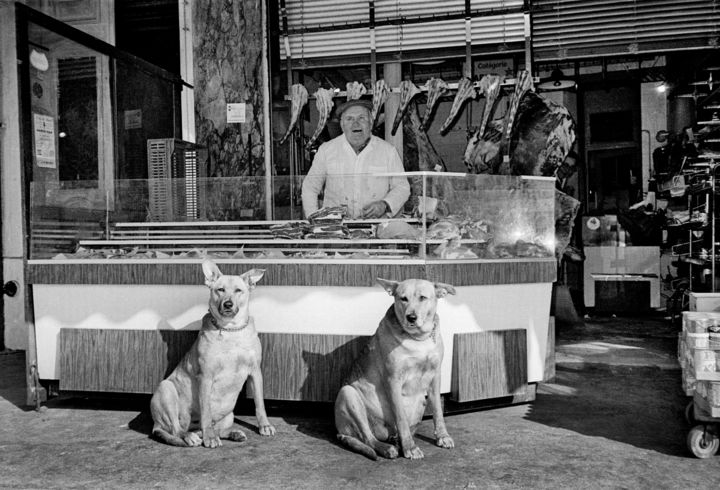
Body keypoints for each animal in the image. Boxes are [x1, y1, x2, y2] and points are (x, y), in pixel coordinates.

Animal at [149, 260, 276, 448]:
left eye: (238, 290)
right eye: (220, 290)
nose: (228, 304)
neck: (231, 331)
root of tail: (156, 425)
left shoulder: (255, 372)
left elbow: (260, 403)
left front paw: (264, 425)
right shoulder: (206, 377)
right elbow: (206, 413)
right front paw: (210, 439)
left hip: (229, 414)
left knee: (217, 429)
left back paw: (232, 433)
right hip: (166, 390)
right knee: (176, 429)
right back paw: (192, 436)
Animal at [336, 278, 456, 462]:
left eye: (422, 298)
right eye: (403, 298)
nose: (411, 317)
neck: (418, 339)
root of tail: (340, 432)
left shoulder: (435, 376)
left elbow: (438, 411)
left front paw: (443, 436)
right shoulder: (393, 380)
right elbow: (401, 418)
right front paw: (410, 448)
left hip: (420, 403)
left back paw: (396, 441)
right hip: (348, 393)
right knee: (368, 438)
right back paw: (387, 448)